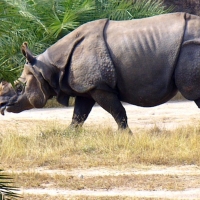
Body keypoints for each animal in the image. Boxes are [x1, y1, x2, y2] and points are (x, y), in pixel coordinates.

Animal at [0, 12, 200, 131]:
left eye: (19, 88)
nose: (2, 105)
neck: (49, 68)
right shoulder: (86, 87)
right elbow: (78, 116)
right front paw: (68, 135)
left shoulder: (99, 86)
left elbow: (118, 112)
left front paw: (126, 137)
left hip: (191, 47)